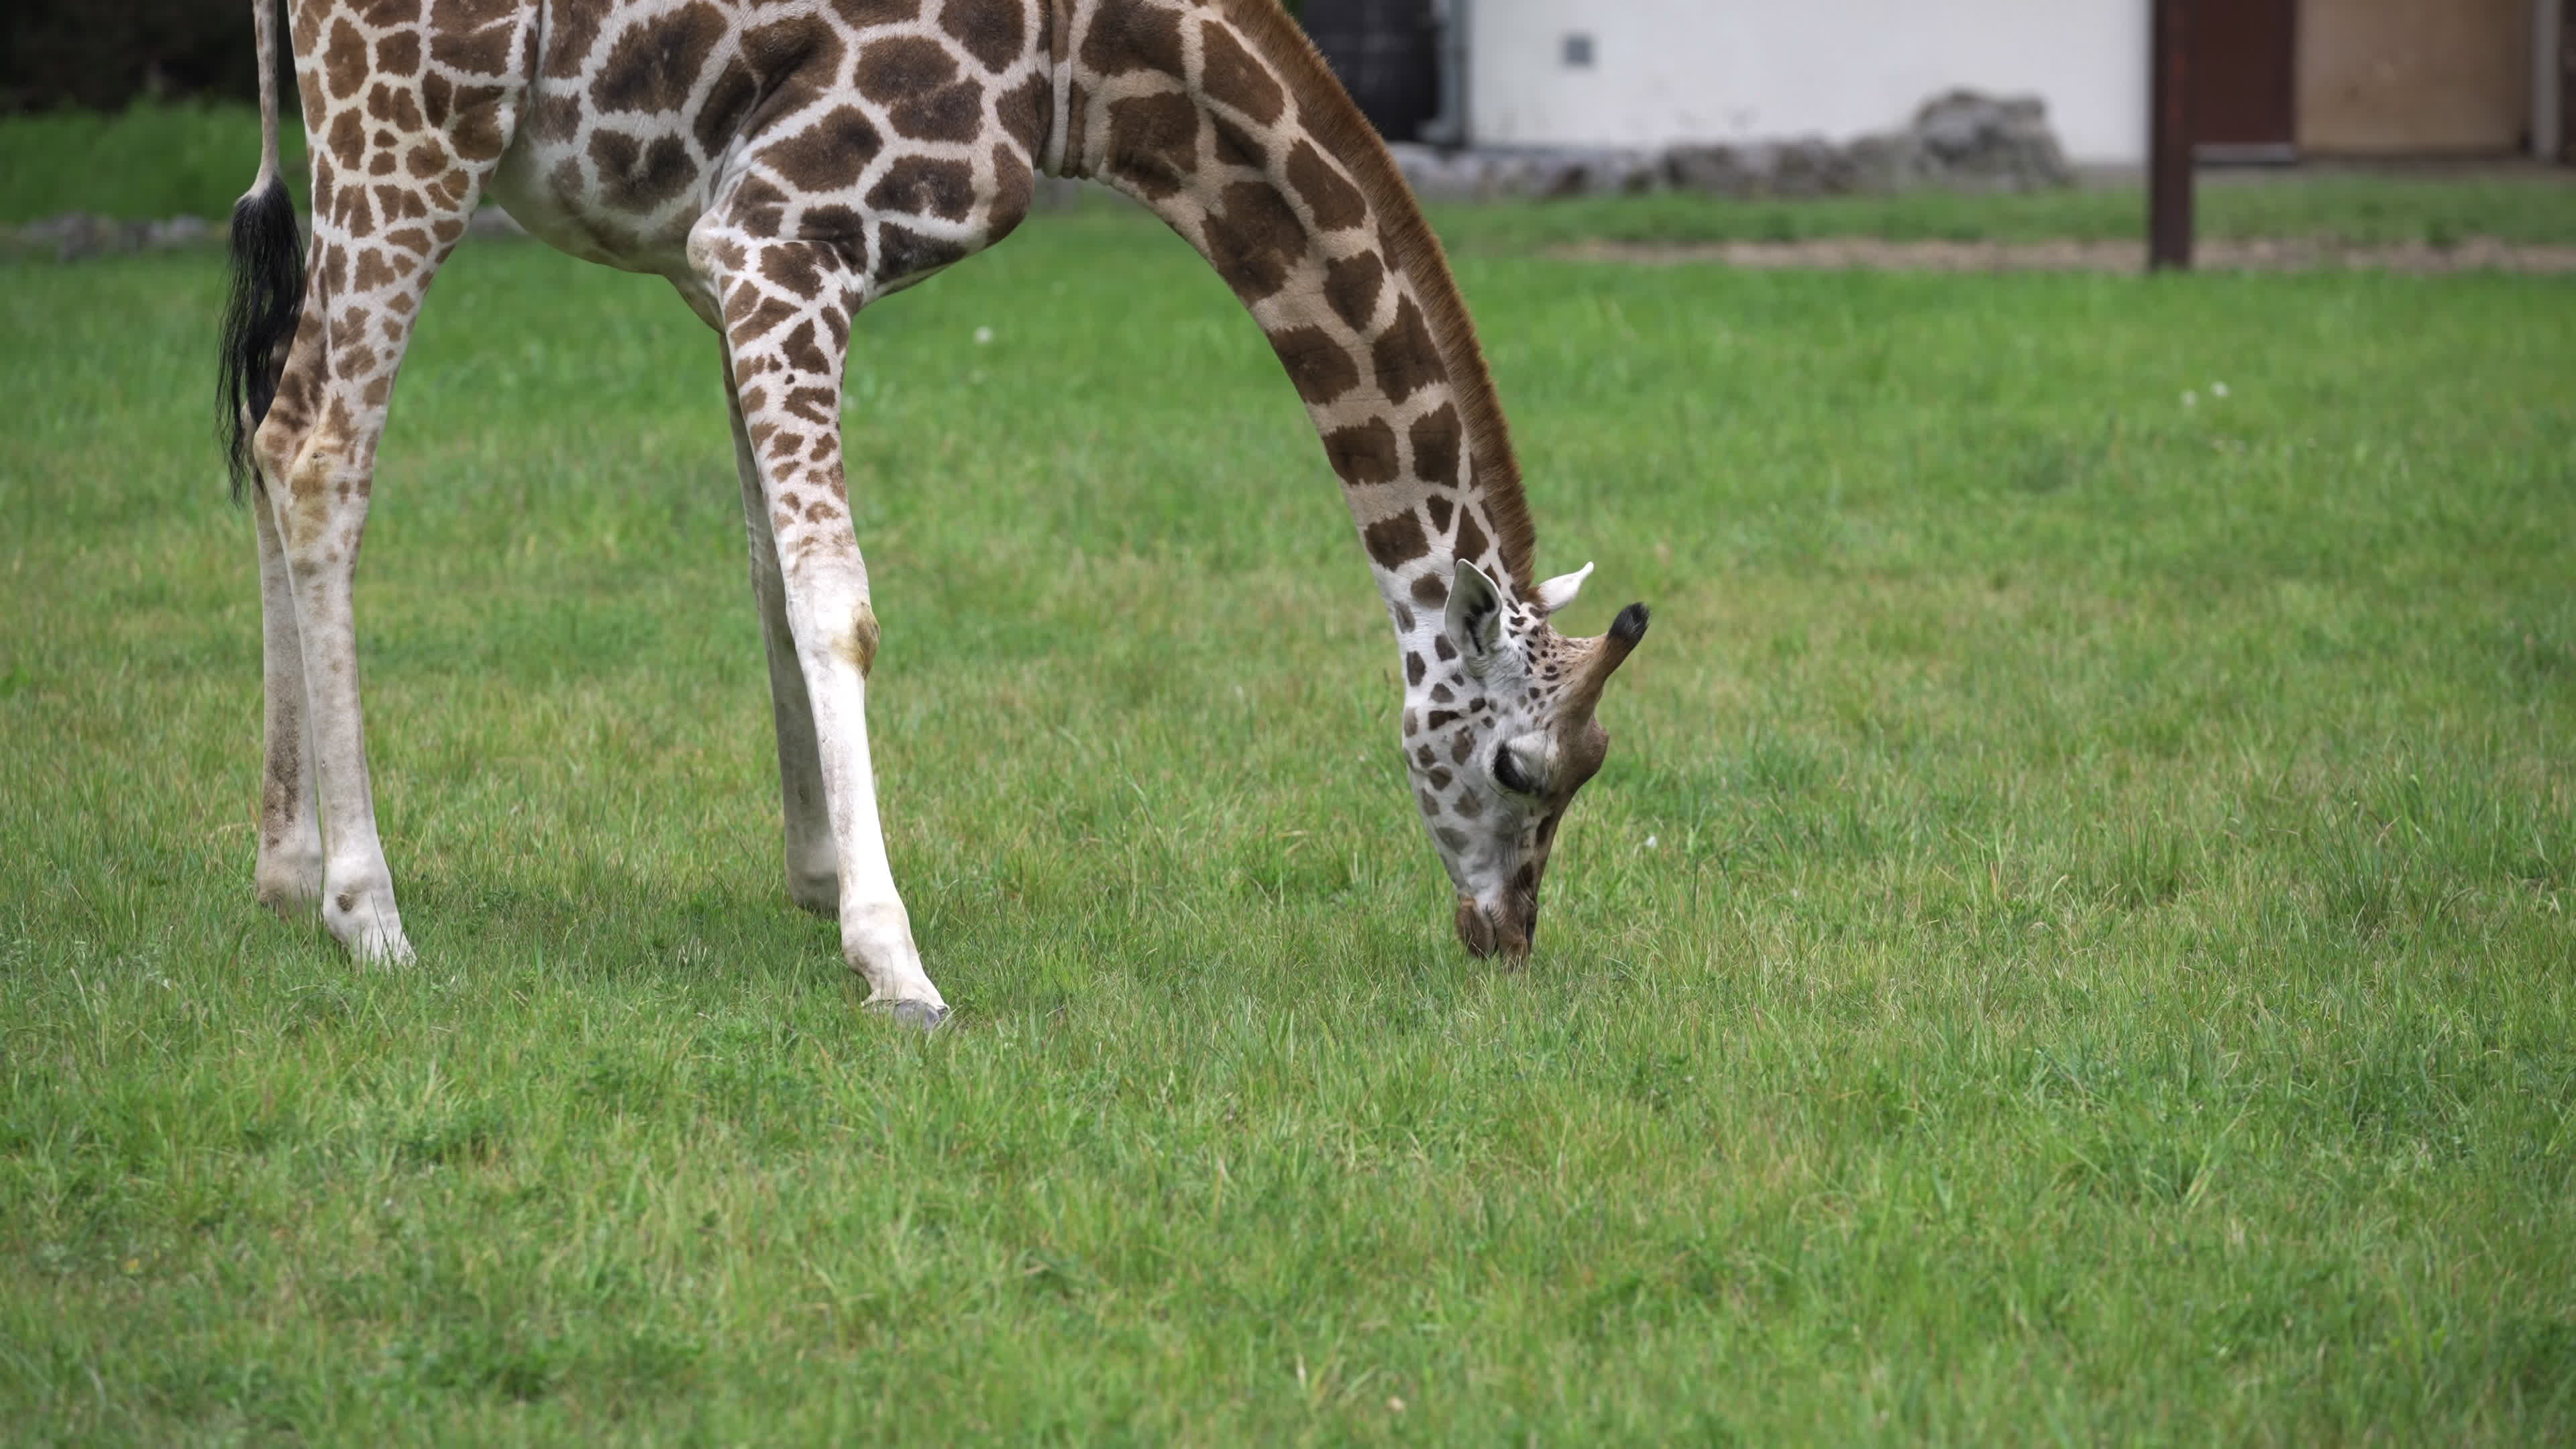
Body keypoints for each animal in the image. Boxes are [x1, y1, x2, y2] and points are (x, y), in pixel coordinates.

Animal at [220, 0, 1651, 1026]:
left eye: (1592, 772)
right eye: (1521, 768)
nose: (1505, 939)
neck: (1089, 60)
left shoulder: (718, 263)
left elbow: (766, 571)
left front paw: (815, 878)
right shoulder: (782, 234)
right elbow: (836, 599)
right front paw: (894, 963)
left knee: (270, 426)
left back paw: (284, 868)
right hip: (415, 114)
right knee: (321, 451)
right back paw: (369, 912)